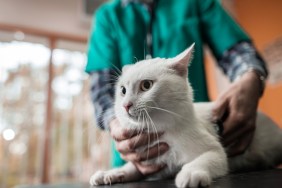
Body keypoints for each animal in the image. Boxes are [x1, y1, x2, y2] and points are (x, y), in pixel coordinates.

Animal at [90, 43, 282, 187]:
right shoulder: (150, 163)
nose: (125, 105)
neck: (161, 131)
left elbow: (202, 160)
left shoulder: (216, 152)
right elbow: (131, 168)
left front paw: (190, 174)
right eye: (122, 90)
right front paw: (110, 173)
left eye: (146, 85)